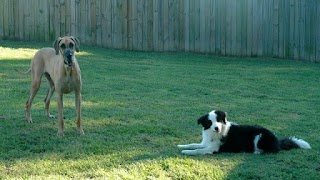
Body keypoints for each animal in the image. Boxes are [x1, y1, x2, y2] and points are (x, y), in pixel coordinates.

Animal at [178, 109, 310, 155]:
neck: (214, 134)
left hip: (258, 135)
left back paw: (255, 152)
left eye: (218, 120)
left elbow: (197, 150)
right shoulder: (205, 143)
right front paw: (181, 146)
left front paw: (186, 152)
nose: (217, 128)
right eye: (210, 122)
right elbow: (193, 144)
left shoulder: (213, 148)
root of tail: (277, 140)